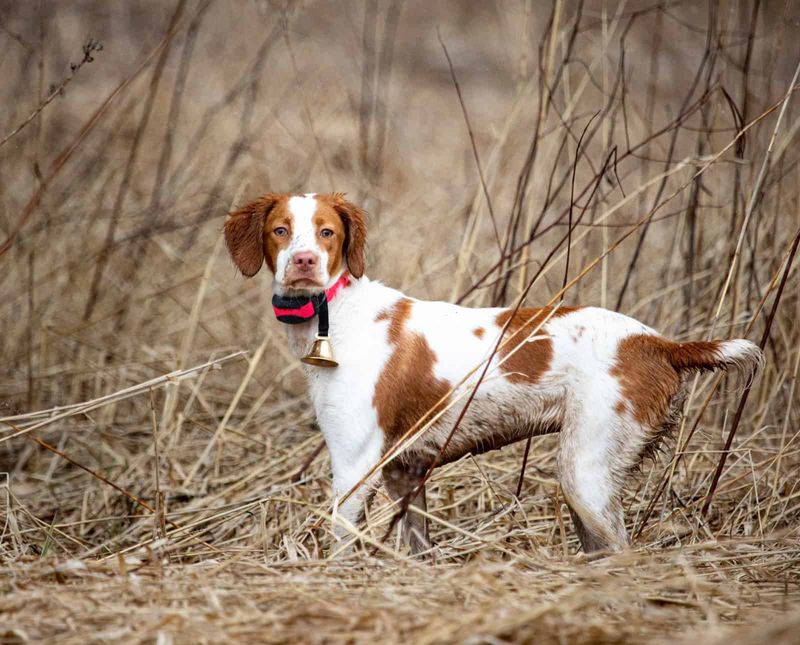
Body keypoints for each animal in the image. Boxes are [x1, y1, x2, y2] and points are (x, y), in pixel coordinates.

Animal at [223, 191, 764, 552]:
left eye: (327, 232)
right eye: (280, 230)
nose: (304, 261)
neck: (336, 311)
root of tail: (656, 342)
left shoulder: (355, 466)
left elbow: (341, 545)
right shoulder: (405, 472)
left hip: (584, 473)